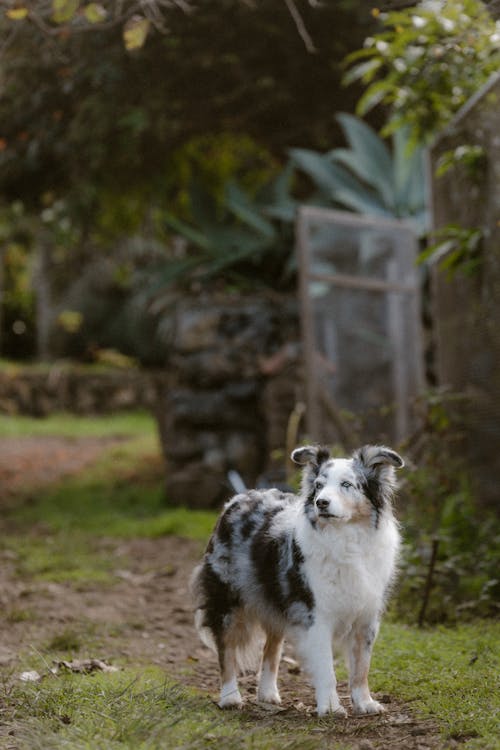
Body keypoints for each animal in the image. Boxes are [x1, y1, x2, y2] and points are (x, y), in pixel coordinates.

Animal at [190, 444, 402, 720]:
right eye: (319, 485)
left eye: (347, 484)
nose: (321, 502)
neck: (346, 539)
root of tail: (239, 497)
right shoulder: (315, 615)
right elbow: (326, 668)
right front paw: (330, 707)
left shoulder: (366, 616)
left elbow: (361, 667)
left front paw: (365, 703)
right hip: (227, 599)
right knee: (226, 650)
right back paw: (230, 697)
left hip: (277, 602)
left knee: (271, 649)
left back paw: (267, 694)